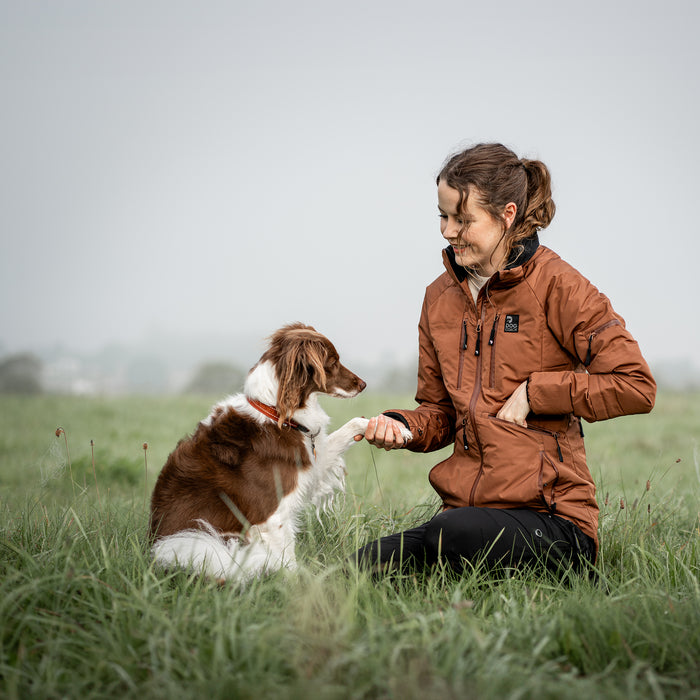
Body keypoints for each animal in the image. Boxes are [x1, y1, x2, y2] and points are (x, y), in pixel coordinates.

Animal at [148, 326, 410, 584]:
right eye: (333, 361)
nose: (363, 384)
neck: (275, 413)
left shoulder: (312, 460)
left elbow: (355, 422)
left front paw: (395, 427)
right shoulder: (272, 517)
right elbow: (289, 560)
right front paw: (301, 585)